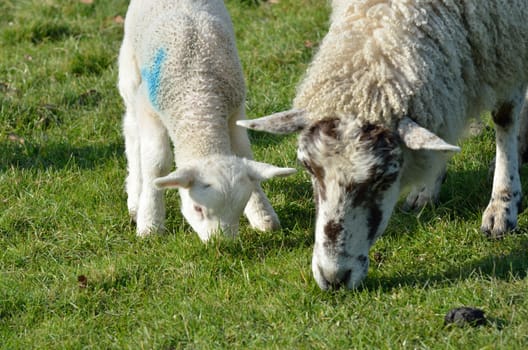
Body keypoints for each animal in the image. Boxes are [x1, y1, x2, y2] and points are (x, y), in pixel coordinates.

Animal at [117, 0, 294, 241]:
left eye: (240, 209)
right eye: (197, 209)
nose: (221, 244)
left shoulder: (235, 110)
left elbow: (243, 153)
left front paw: (262, 215)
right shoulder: (150, 109)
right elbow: (157, 164)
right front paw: (150, 223)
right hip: (131, 73)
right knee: (132, 133)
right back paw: (135, 198)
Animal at [238, 0, 528, 288]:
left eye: (384, 178)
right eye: (309, 168)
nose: (333, 279)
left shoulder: (507, 39)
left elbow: (504, 116)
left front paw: (502, 206)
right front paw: (427, 188)